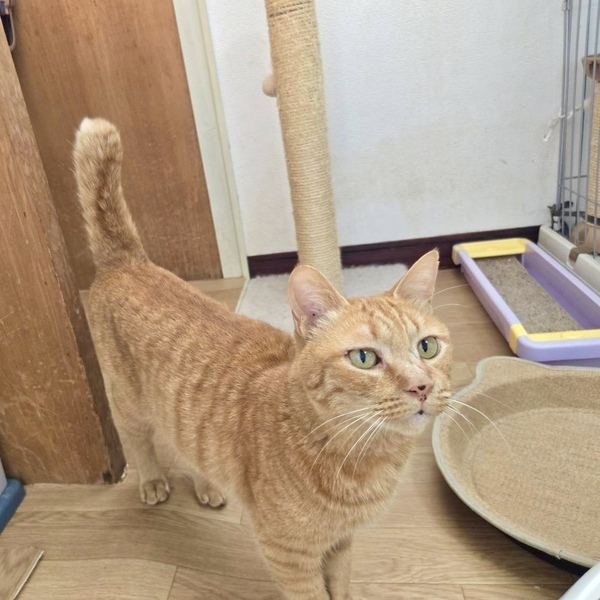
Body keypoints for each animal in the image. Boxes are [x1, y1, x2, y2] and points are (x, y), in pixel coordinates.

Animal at [73, 118, 452, 600]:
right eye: (365, 358)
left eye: (427, 347)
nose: (421, 386)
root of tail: (128, 261)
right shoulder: (290, 555)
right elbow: (315, 595)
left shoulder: (341, 543)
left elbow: (341, 586)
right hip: (128, 402)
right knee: (140, 442)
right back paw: (153, 480)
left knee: (184, 447)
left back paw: (207, 486)